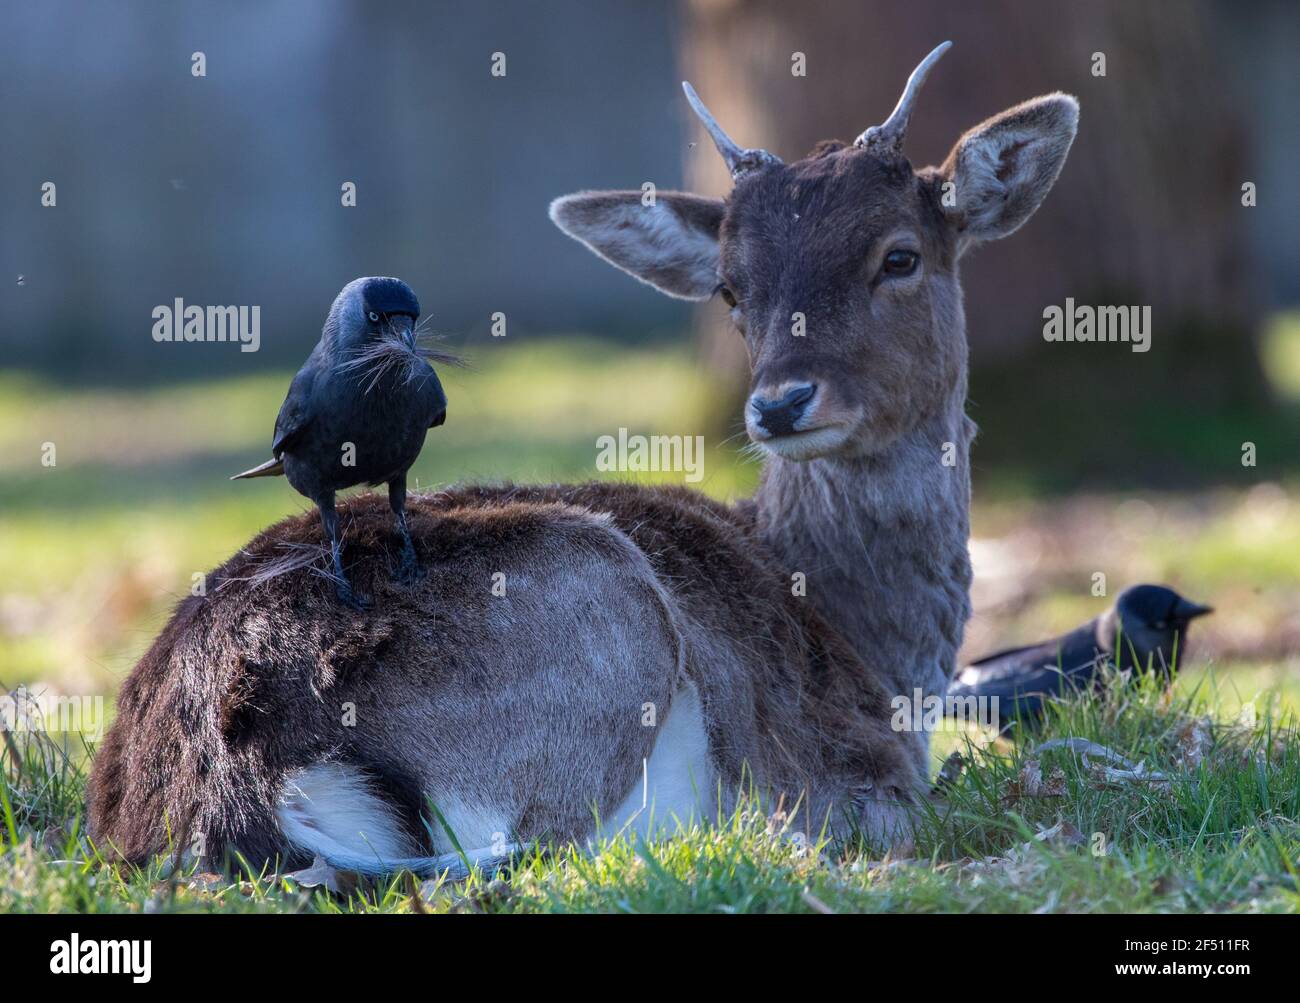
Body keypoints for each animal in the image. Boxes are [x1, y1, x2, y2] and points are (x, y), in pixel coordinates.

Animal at [89, 45, 1076, 878]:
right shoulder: (850, 769)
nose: (781, 403)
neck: (879, 646)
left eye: (900, 256)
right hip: (601, 612)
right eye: (731, 289)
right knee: (530, 848)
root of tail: (219, 795)